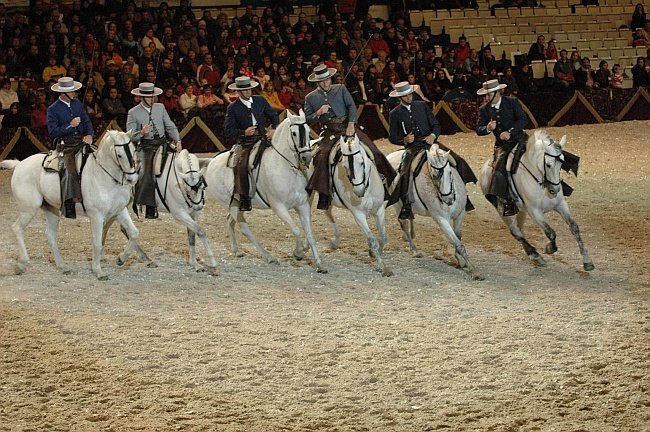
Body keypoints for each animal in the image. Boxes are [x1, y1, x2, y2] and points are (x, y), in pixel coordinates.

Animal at [1, 130, 151, 278]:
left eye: (133, 150)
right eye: (119, 155)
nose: (132, 178)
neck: (103, 175)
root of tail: (19, 164)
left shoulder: (120, 211)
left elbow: (134, 233)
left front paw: (121, 259)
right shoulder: (96, 216)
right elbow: (97, 243)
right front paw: (98, 270)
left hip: (51, 210)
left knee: (50, 235)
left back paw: (63, 267)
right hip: (29, 208)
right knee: (17, 228)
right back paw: (21, 264)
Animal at [202, 109, 324, 270]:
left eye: (308, 130)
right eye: (294, 133)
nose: (306, 158)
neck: (285, 167)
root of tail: (211, 162)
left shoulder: (302, 205)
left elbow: (310, 234)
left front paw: (319, 264)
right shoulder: (278, 207)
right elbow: (296, 229)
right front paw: (298, 253)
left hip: (236, 203)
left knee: (230, 221)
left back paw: (237, 250)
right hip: (230, 203)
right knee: (244, 228)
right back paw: (269, 257)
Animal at [324, 134, 390, 276]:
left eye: (362, 162)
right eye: (344, 166)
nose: (359, 191)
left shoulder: (379, 210)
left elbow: (383, 236)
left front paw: (374, 253)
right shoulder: (358, 215)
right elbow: (372, 239)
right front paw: (383, 267)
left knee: (328, 212)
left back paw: (335, 241)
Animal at [384, 145, 480, 280]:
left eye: (450, 172)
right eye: (434, 176)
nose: (448, 199)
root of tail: (389, 156)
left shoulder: (460, 214)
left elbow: (458, 236)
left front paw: (460, 260)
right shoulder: (441, 219)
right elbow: (458, 243)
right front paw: (473, 270)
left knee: (410, 219)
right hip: (398, 204)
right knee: (403, 223)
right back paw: (414, 250)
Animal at [476, 129, 592, 270]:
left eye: (561, 164)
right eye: (548, 165)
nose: (555, 190)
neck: (542, 184)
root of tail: (484, 168)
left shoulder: (560, 205)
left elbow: (574, 227)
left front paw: (587, 261)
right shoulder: (535, 211)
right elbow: (550, 232)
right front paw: (550, 248)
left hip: (521, 210)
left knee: (519, 229)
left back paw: (533, 255)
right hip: (501, 209)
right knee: (515, 232)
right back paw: (535, 255)